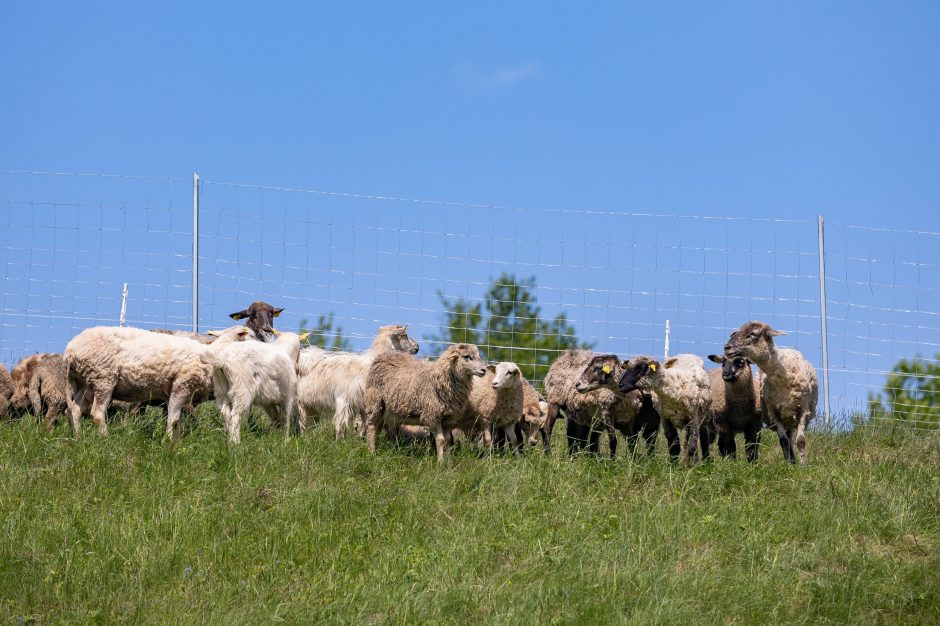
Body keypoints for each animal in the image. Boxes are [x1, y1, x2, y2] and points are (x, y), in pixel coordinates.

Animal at [724, 322, 820, 464]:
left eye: (754, 334)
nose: (727, 347)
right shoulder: (773, 412)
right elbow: (783, 441)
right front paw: (788, 464)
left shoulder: (803, 409)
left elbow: (801, 441)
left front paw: (803, 465)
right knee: (788, 438)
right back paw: (792, 460)